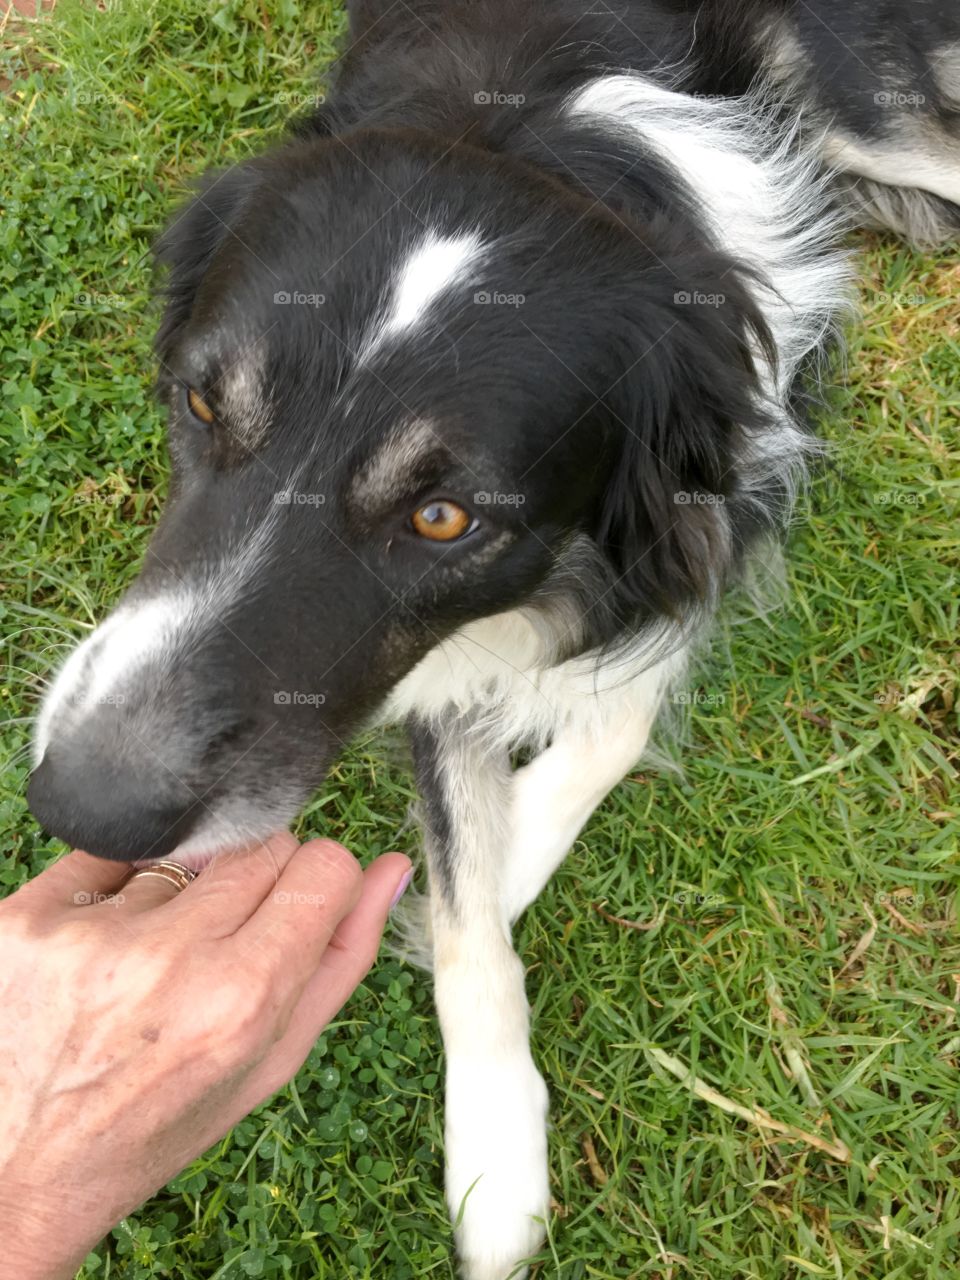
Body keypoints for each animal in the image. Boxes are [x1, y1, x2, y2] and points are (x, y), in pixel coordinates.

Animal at [26, 0, 957, 1274]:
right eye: (201, 404)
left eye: (443, 517)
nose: (84, 808)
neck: (539, 131)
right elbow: (473, 893)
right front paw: (497, 1147)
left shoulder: (693, 515)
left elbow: (604, 722)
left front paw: (496, 858)